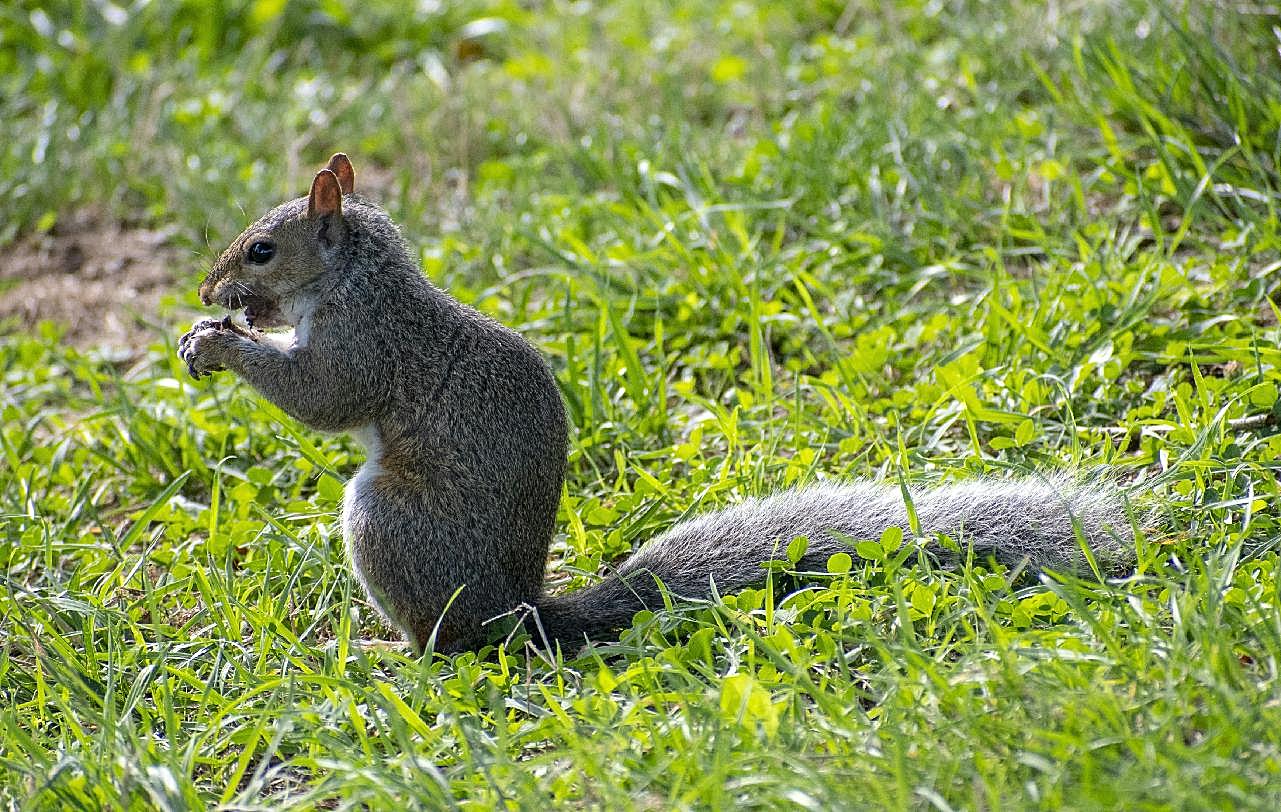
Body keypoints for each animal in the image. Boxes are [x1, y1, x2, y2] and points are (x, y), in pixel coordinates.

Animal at [178, 154, 1132, 655]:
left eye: (261, 250)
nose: (210, 291)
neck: (353, 277)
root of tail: (515, 612)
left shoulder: (368, 344)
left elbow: (322, 398)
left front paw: (218, 344)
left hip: (385, 522)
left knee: (441, 639)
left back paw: (396, 650)